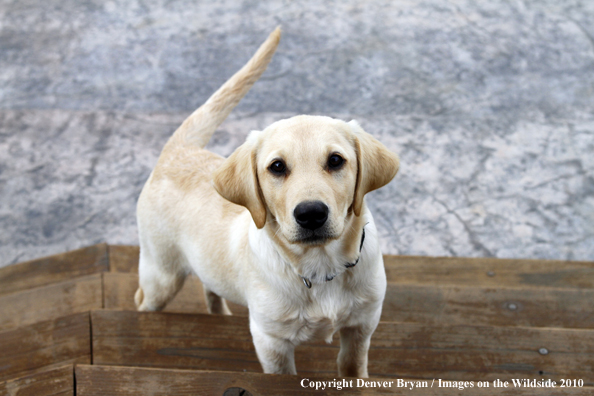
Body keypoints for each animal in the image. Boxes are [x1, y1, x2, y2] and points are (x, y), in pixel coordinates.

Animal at [134, 28, 398, 378]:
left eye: (336, 160)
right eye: (276, 167)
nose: (311, 214)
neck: (319, 267)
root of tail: (177, 151)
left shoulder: (362, 326)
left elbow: (352, 368)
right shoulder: (271, 341)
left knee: (209, 285)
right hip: (161, 275)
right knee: (142, 299)